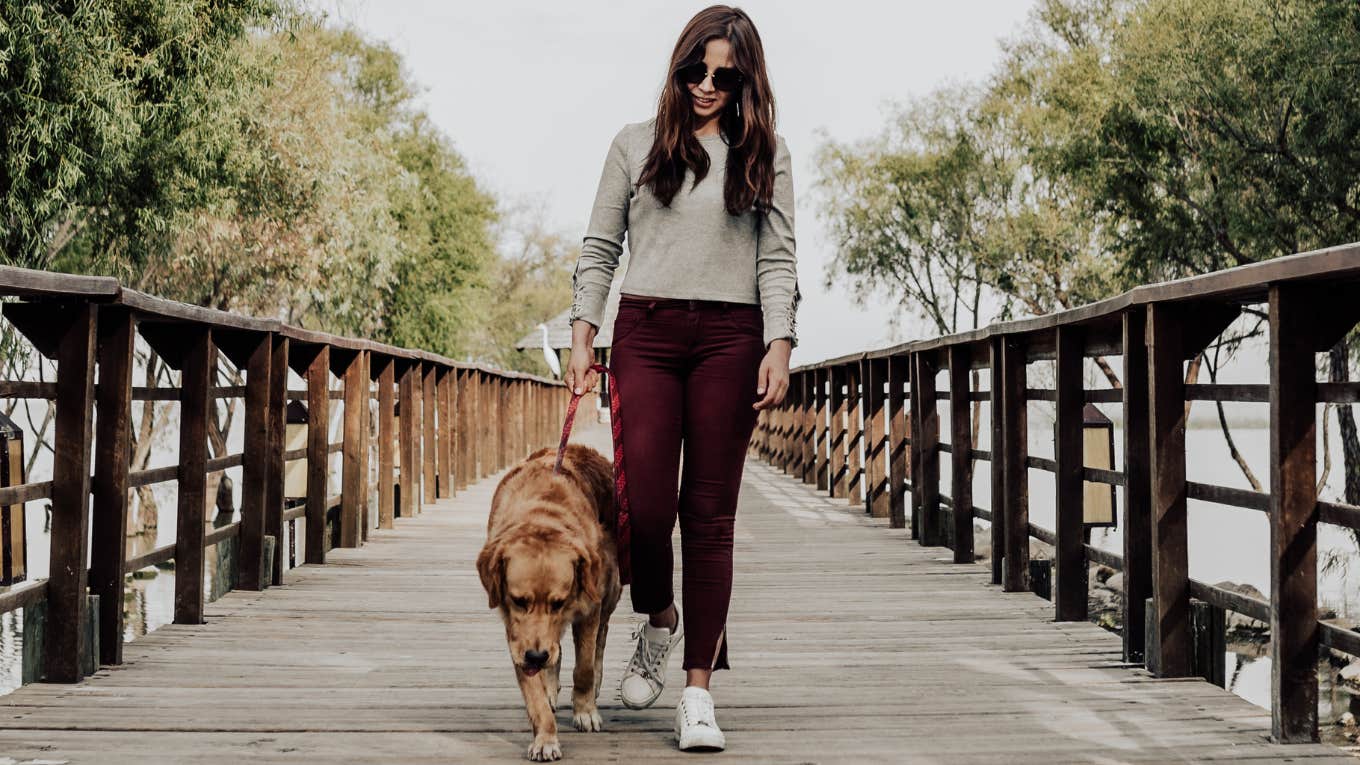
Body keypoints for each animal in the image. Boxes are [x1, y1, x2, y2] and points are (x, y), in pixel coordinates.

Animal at [476, 438, 622, 756]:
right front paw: (545, 737)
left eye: (559, 602)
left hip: (610, 589)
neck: (543, 517)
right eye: (519, 601)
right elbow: (534, 695)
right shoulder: (516, 633)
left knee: (601, 639)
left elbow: (584, 667)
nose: (536, 656)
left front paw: (585, 710)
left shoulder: (589, 607)